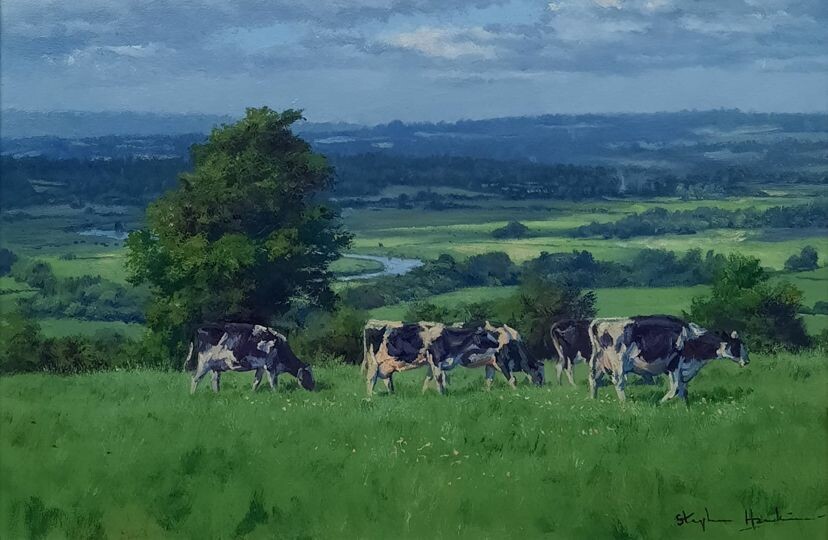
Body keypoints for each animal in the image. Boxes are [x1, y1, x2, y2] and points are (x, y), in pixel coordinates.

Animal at [184, 322, 314, 394]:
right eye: (309, 376)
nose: (314, 389)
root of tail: (199, 328)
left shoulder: (261, 367)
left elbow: (256, 381)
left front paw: (252, 394)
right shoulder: (270, 366)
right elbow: (273, 383)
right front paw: (277, 395)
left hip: (215, 366)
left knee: (214, 381)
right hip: (204, 362)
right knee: (195, 378)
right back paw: (192, 395)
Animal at [362, 316, 544, 396]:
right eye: (541, 375)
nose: (542, 388)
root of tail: (372, 322)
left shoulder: (490, 363)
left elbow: (489, 380)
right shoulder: (502, 360)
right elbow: (512, 379)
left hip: (386, 366)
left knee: (387, 381)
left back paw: (390, 395)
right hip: (374, 363)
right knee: (371, 380)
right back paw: (370, 398)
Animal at [588, 314, 752, 402]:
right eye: (737, 346)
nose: (747, 361)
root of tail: (600, 322)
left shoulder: (681, 369)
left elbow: (682, 389)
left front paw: (683, 407)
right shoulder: (674, 364)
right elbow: (675, 388)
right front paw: (660, 403)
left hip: (598, 363)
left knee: (594, 380)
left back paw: (594, 401)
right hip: (619, 364)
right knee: (619, 382)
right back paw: (625, 404)